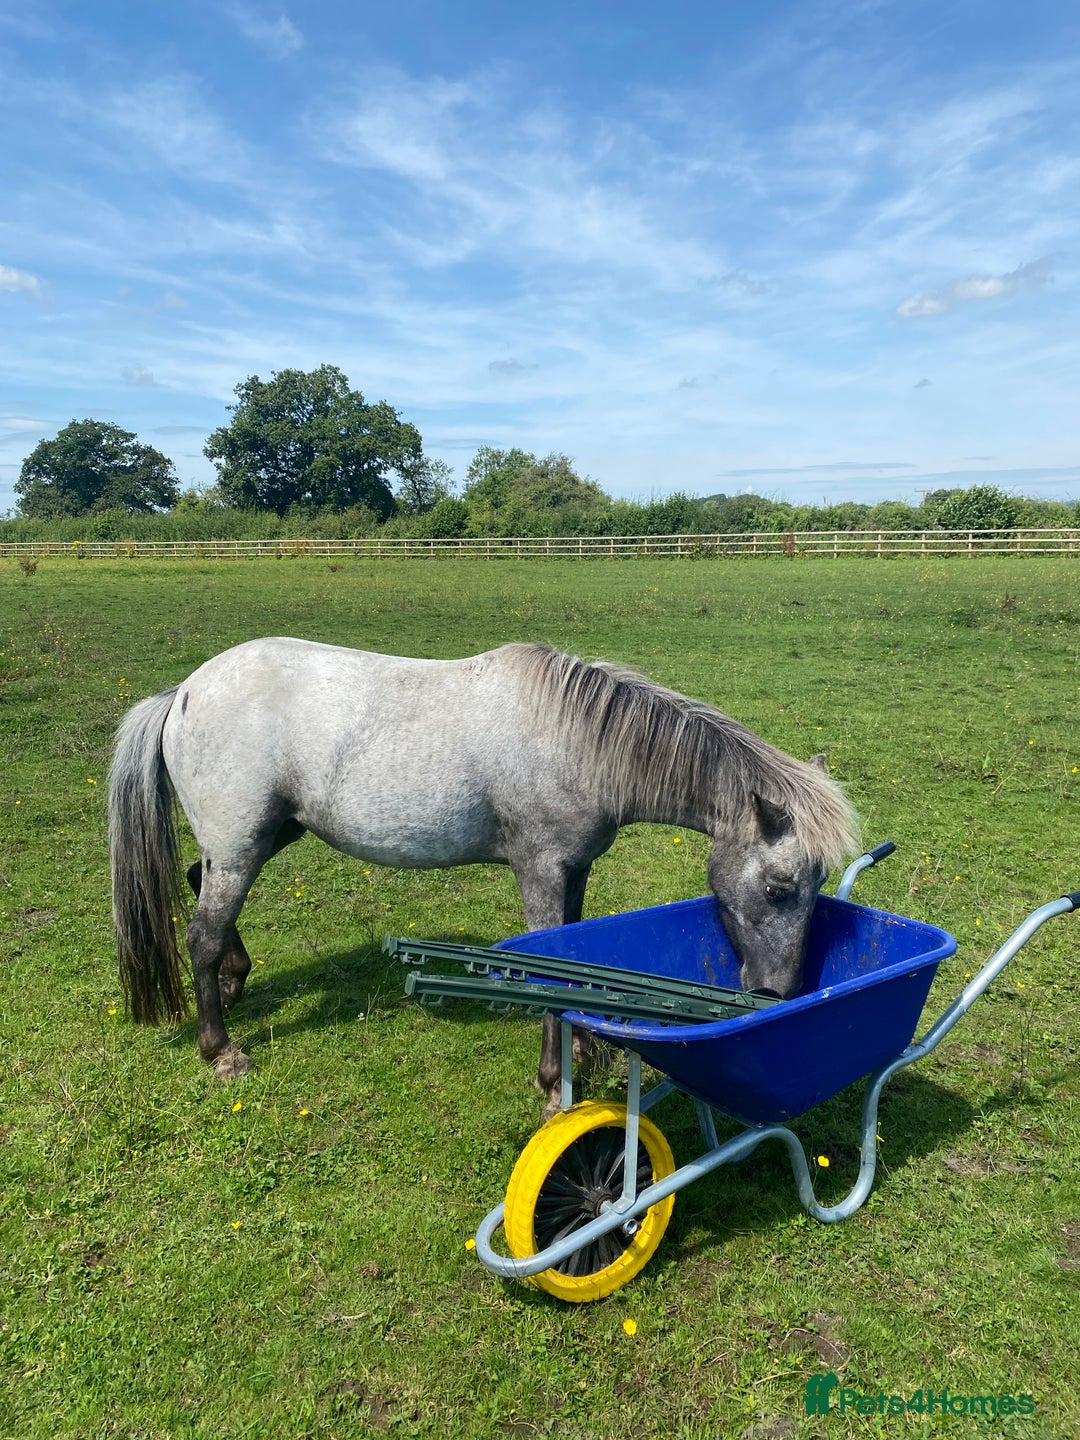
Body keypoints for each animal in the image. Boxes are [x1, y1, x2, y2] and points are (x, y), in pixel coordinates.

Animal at [108, 638, 858, 1112]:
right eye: (779, 890)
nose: (776, 995)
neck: (574, 741)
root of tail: (184, 691)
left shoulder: (574, 870)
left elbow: (573, 955)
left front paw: (586, 1051)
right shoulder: (541, 871)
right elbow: (550, 969)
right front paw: (554, 1081)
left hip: (263, 837)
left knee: (201, 887)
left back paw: (236, 981)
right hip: (243, 845)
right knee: (201, 933)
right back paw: (220, 1050)